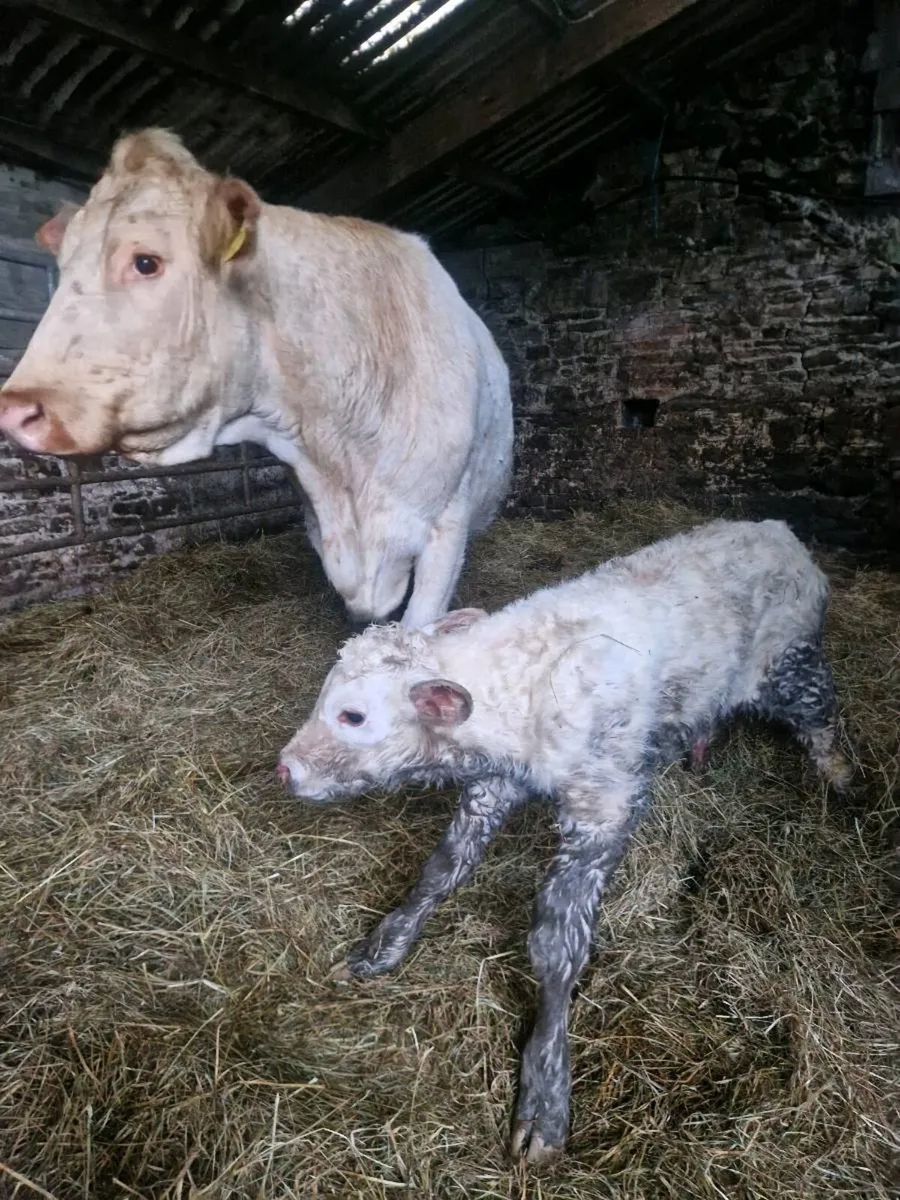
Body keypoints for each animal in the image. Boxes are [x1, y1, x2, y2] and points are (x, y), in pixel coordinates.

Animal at [277, 518, 853, 1162]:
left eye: (352, 716)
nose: (285, 770)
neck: (527, 686)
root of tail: (777, 529)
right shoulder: (494, 784)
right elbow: (443, 868)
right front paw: (383, 945)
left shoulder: (601, 804)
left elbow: (557, 944)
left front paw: (544, 1097)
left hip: (792, 661)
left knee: (821, 713)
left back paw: (839, 776)